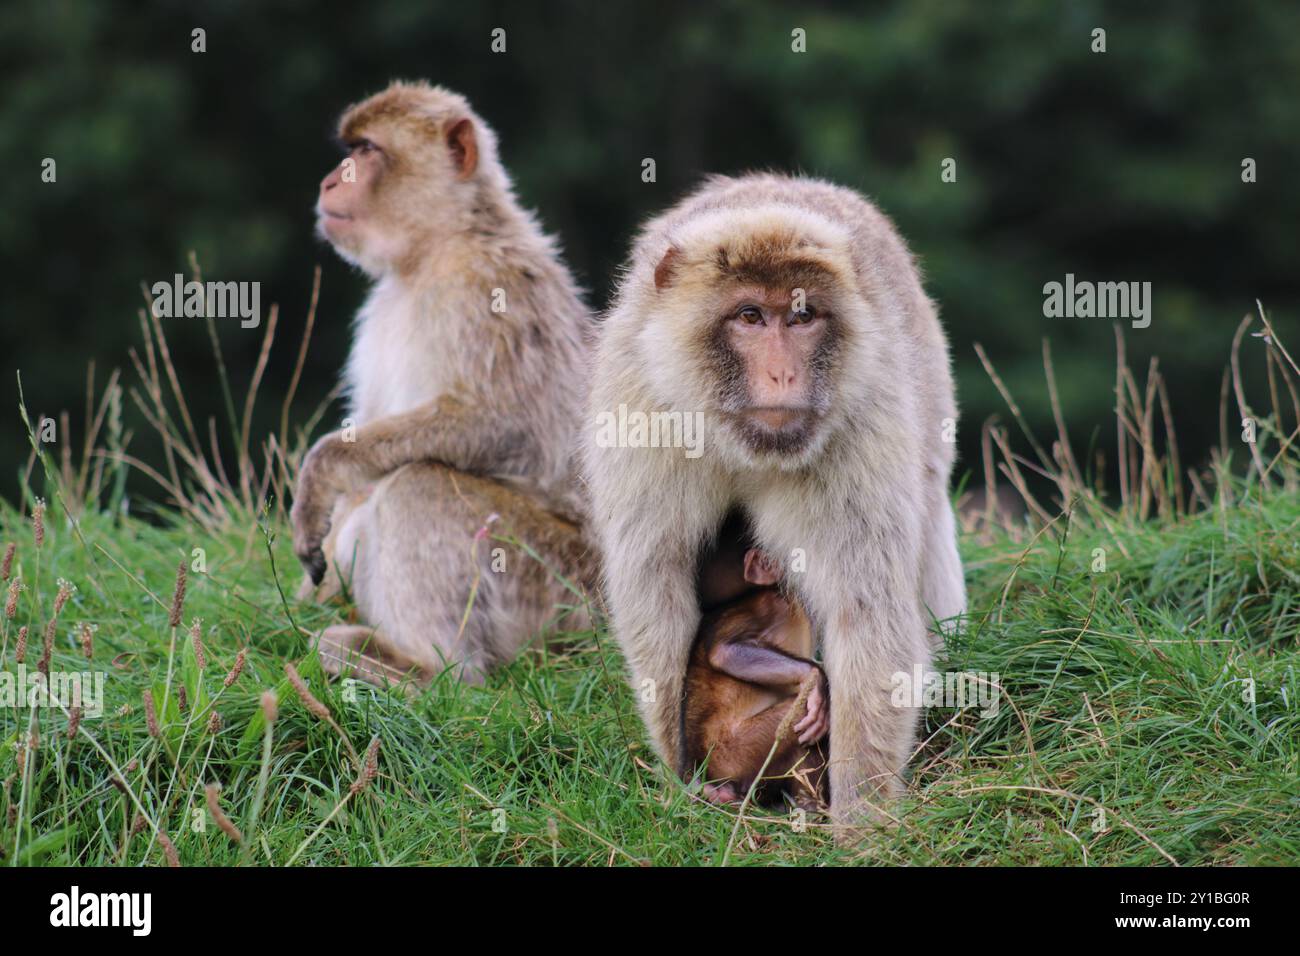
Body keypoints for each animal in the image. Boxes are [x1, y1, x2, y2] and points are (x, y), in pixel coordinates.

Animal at [291, 81, 596, 686]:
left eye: (366, 151)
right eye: (350, 149)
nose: (331, 180)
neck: (434, 251)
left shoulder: (487, 289)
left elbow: (509, 428)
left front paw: (322, 470)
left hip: (558, 593)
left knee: (418, 482)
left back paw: (430, 670)